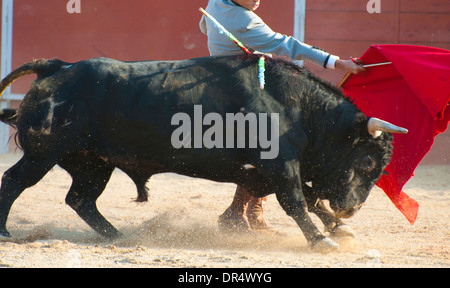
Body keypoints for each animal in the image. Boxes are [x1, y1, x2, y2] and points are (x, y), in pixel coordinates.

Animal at [0, 54, 408, 250]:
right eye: (367, 160)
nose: (351, 209)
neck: (297, 105)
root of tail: (58, 67)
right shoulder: (280, 165)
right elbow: (296, 200)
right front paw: (323, 240)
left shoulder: (268, 171)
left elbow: (309, 198)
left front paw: (339, 228)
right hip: (43, 155)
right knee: (13, 181)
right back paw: (5, 232)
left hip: (93, 163)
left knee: (81, 199)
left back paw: (118, 236)